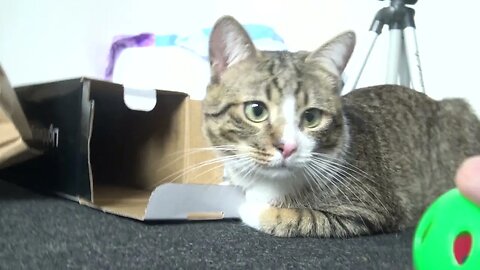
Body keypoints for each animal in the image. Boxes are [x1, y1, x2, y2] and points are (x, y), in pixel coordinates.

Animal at [201, 15, 480, 237]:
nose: (288, 147)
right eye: (256, 110)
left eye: (311, 117)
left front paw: (252, 208)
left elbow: (303, 217)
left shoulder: (366, 210)